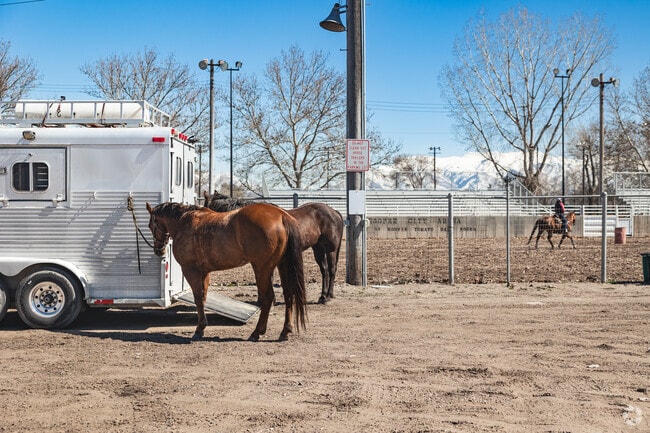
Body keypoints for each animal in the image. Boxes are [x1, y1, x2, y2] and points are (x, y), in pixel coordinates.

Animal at [146, 201, 307, 341]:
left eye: (151, 225)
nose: (158, 250)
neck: (183, 223)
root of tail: (281, 215)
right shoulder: (204, 272)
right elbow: (203, 298)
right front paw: (202, 327)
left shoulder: (191, 270)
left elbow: (198, 298)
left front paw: (199, 329)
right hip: (282, 265)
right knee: (288, 294)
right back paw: (285, 331)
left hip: (262, 268)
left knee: (267, 297)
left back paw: (256, 332)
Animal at [204, 191, 344, 304]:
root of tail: (334, 212)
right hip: (318, 248)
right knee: (324, 271)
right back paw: (323, 296)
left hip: (330, 249)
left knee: (332, 270)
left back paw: (327, 297)